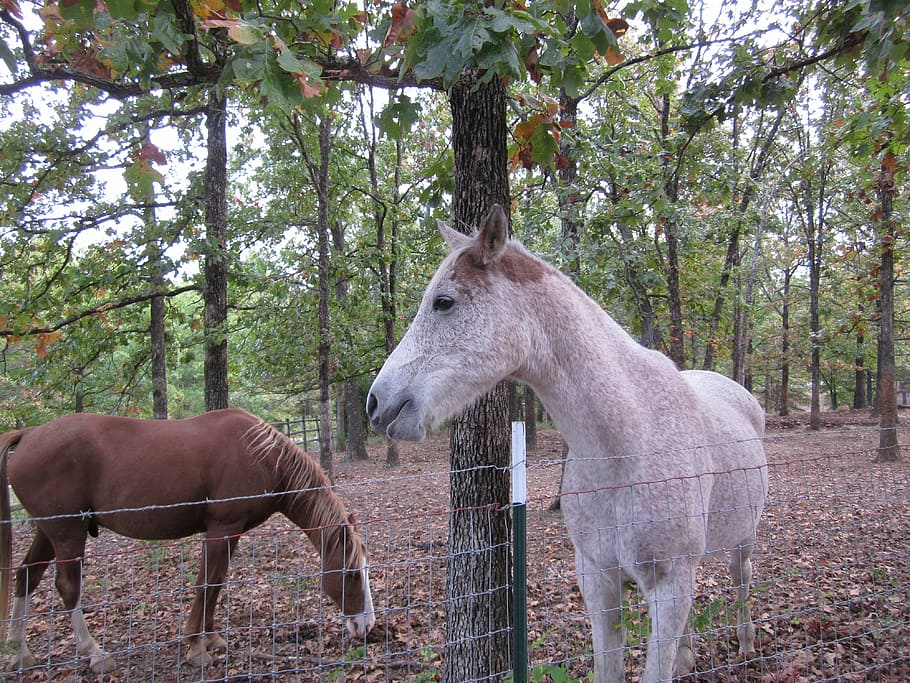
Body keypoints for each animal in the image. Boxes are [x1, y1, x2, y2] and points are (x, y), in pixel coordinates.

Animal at [0, 408, 375, 674]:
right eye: (351, 574)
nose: (366, 626)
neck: (261, 454)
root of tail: (29, 435)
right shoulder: (222, 528)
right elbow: (206, 583)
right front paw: (196, 648)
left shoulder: (230, 532)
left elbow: (216, 582)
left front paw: (211, 639)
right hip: (67, 534)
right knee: (68, 588)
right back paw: (94, 653)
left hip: (49, 533)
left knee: (26, 576)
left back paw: (19, 652)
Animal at [366, 205, 768, 682]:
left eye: (443, 302)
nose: (377, 403)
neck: (627, 443)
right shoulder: (597, 578)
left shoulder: (669, 583)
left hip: (742, 542)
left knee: (741, 580)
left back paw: (746, 643)